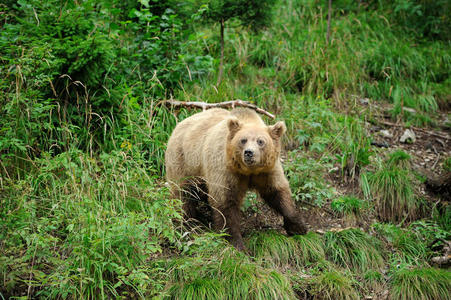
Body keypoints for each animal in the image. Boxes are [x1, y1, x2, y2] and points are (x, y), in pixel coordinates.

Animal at [166, 106, 308, 250]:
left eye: (260, 141)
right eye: (243, 140)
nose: (249, 153)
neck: (248, 170)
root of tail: (178, 124)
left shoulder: (268, 171)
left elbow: (277, 192)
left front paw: (298, 227)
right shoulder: (225, 169)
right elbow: (226, 202)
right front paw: (236, 243)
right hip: (184, 160)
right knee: (183, 193)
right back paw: (189, 222)